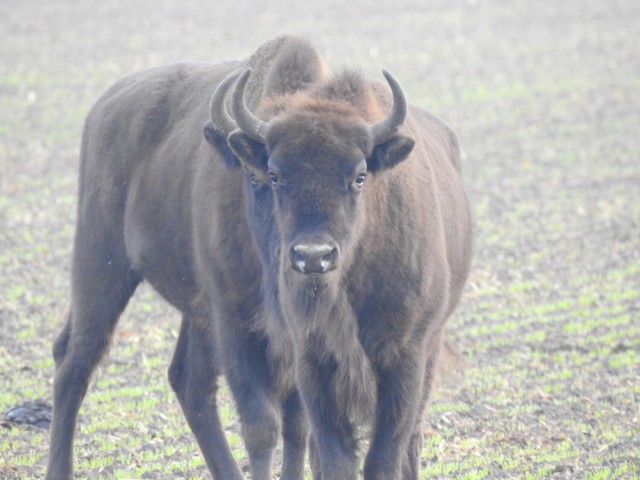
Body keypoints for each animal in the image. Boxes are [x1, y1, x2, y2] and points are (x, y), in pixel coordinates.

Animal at [46, 36, 470, 480]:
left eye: (359, 176)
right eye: (267, 174)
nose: (310, 257)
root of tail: (105, 104)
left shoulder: (393, 353)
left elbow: (309, 429)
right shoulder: (241, 326)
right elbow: (264, 426)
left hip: (186, 308)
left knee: (189, 382)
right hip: (101, 265)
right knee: (75, 360)